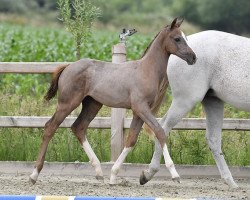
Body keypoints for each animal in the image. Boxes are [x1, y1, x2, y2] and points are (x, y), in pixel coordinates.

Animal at [30, 18, 196, 185]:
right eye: (177, 38)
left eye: (186, 38)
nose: (193, 57)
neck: (146, 70)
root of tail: (68, 66)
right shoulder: (141, 107)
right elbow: (160, 132)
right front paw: (175, 174)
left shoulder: (139, 112)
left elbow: (131, 140)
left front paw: (114, 175)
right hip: (68, 103)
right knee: (50, 127)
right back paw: (34, 174)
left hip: (92, 104)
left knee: (78, 127)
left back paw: (98, 171)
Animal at [140, 30, 249, 188]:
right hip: (185, 101)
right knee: (163, 128)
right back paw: (151, 174)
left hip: (213, 101)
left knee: (213, 139)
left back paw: (231, 182)